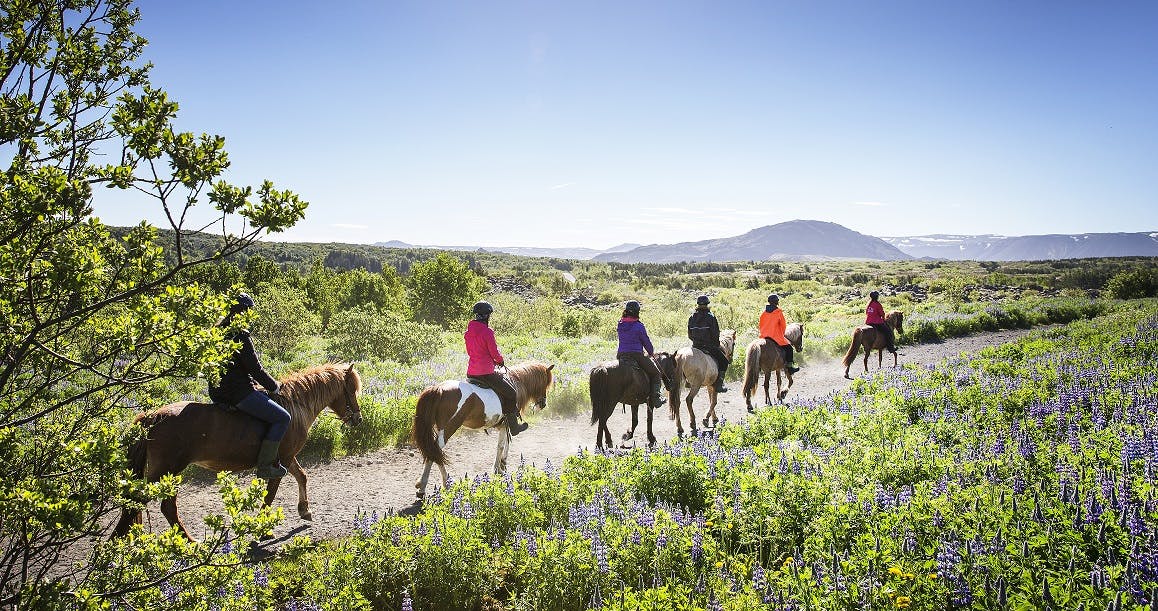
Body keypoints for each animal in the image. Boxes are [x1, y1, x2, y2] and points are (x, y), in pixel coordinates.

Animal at [113, 363, 363, 539]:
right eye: (351, 390)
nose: (358, 419)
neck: (295, 406)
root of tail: (153, 416)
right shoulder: (280, 460)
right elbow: (270, 494)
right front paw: (264, 528)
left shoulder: (287, 458)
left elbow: (302, 476)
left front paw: (304, 510)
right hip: (166, 470)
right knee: (144, 502)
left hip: (168, 473)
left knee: (163, 506)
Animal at [409, 361, 553, 499]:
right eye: (545, 383)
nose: (543, 404)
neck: (516, 383)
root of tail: (438, 389)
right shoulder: (505, 424)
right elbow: (501, 446)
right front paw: (498, 469)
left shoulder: (503, 425)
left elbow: (506, 442)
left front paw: (503, 462)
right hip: (449, 428)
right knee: (435, 451)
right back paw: (438, 484)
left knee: (432, 452)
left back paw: (424, 484)